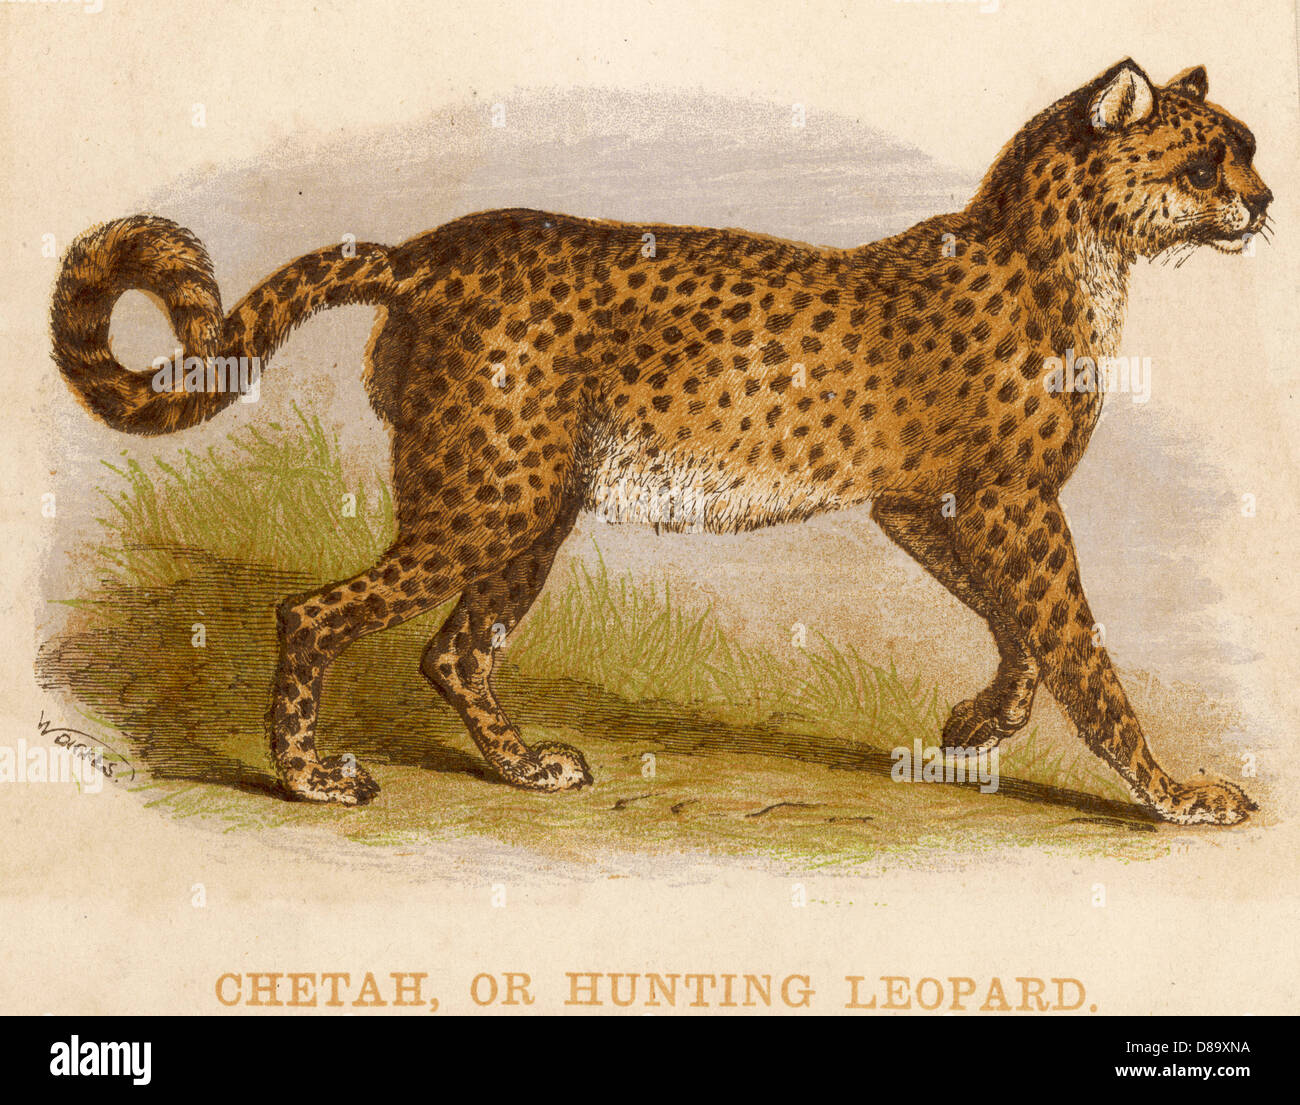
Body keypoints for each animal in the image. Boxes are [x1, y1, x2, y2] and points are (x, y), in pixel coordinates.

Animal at [50, 59, 1272, 825]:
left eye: (1248, 152)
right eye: (1206, 163)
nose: (1263, 204)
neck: (1072, 252)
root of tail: (433, 245)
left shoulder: (925, 502)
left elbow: (1019, 626)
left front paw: (979, 722)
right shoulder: (1010, 500)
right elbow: (1082, 651)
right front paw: (1175, 792)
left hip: (531, 505)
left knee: (456, 651)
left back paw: (525, 765)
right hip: (489, 501)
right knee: (314, 613)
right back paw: (311, 779)